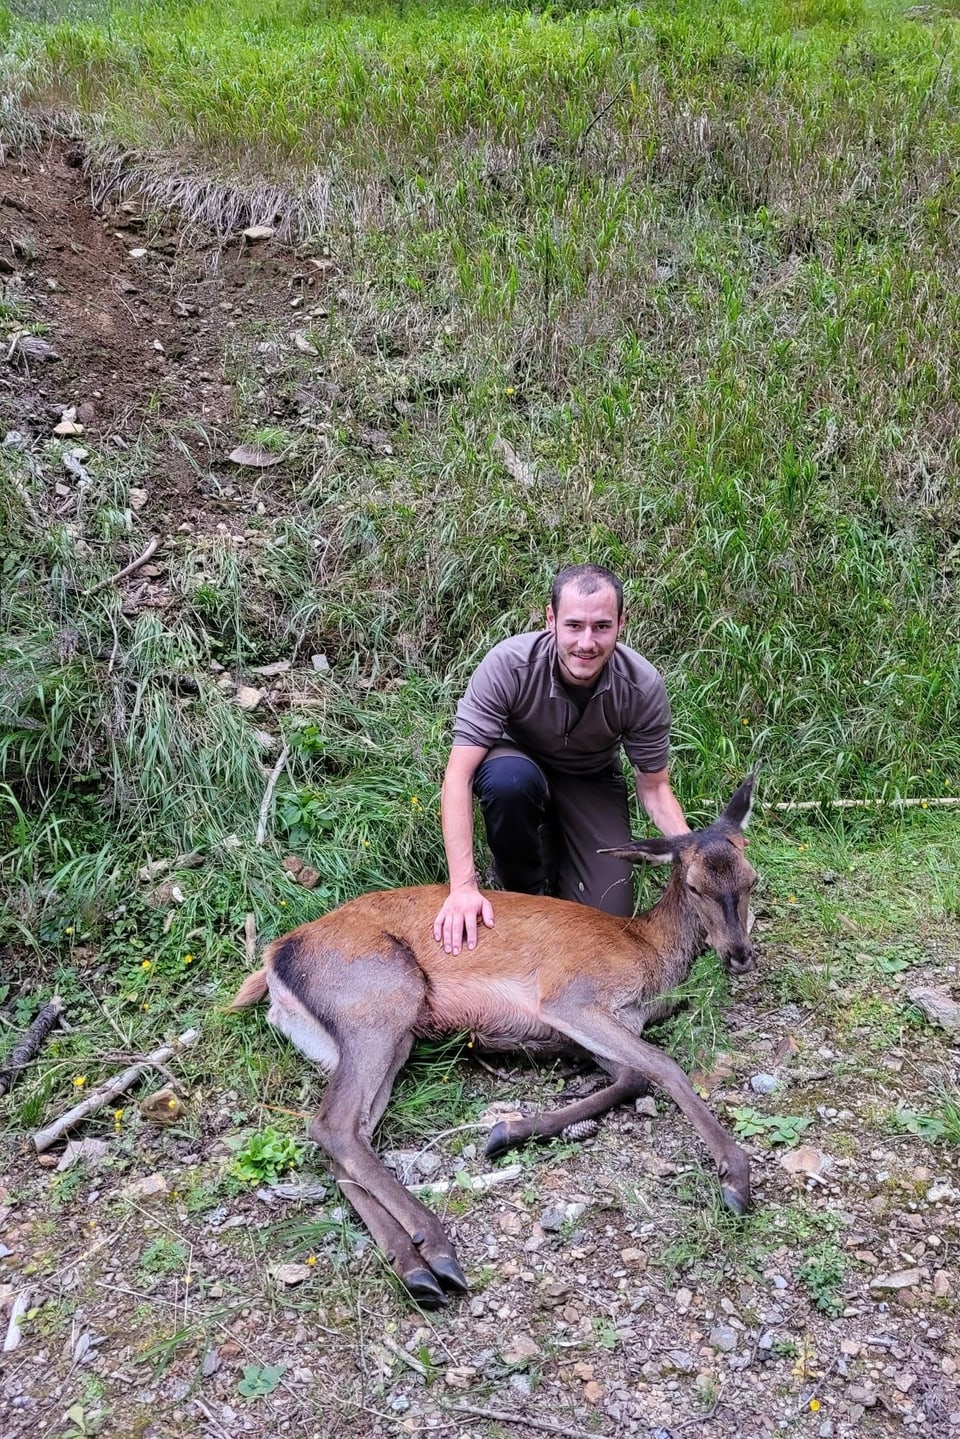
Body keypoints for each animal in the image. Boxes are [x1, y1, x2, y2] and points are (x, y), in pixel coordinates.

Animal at [228, 777, 759, 1306]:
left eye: (751, 880)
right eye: (694, 885)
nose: (739, 954)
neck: (649, 956)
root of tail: (274, 958)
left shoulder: (601, 1030)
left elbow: (633, 1077)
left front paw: (508, 1132)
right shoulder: (572, 997)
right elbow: (662, 1066)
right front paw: (735, 1177)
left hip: (384, 1036)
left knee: (347, 1133)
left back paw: (414, 1268)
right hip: (379, 1001)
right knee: (332, 1125)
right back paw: (436, 1247)